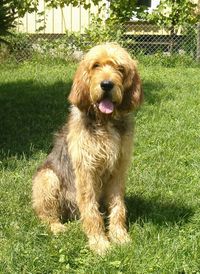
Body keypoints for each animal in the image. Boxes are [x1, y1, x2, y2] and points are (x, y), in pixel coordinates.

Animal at [32, 42, 143, 255]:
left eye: (120, 68)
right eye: (96, 65)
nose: (107, 85)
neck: (105, 121)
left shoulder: (118, 169)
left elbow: (118, 206)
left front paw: (119, 236)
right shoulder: (86, 171)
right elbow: (91, 210)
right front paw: (99, 242)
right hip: (47, 178)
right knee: (46, 215)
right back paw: (57, 226)